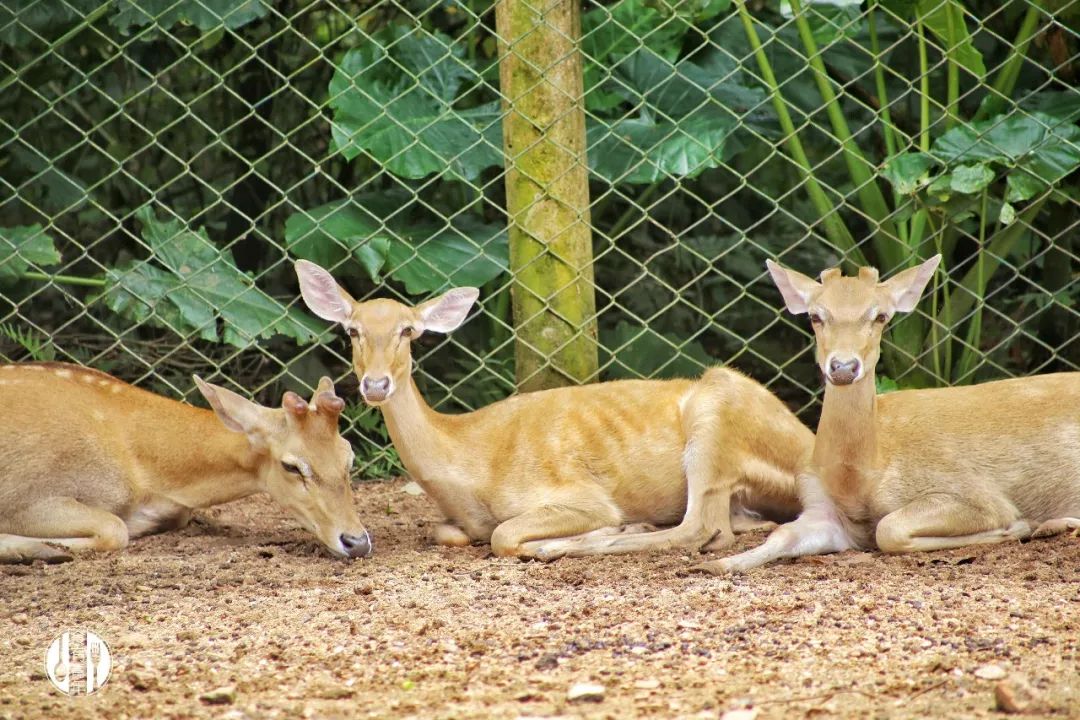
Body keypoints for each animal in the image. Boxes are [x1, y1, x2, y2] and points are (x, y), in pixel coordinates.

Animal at [0, 367, 371, 561]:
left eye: (349, 457)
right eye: (291, 466)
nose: (357, 542)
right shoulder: (26, 497)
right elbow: (115, 529)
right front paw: (41, 549)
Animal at [291, 262, 812, 561]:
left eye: (408, 331)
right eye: (352, 330)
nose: (376, 384)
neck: (469, 464)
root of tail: (809, 445)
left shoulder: (580, 494)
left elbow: (503, 535)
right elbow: (449, 533)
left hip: (715, 415)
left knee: (700, 529)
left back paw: (571, 542)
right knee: (732, 526)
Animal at [691, 255, 1080, 578]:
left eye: (880, 316)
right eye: (816, 316)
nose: (843, 367)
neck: (861, 477)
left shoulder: (975, 494)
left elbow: (887, 529)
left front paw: (1015, 527)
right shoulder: (821, 508)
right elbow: (781, 533)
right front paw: (717, 564)